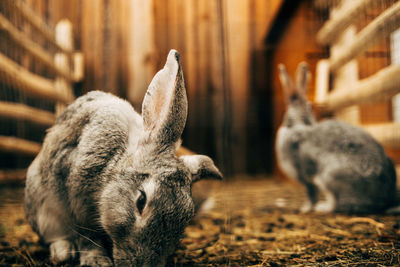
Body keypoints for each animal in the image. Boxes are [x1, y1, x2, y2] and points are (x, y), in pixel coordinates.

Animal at [24, 49, 222, 266]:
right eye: (141, 201)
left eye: (187, 217)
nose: (145, 264)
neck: (113, 165)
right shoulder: (76, 204)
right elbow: (87, 237)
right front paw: (96, 261)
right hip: (42, 209)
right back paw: (62, 253)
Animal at [276, 61, 396, 215]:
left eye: (287, 117)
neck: (299, 124)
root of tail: (386, 199)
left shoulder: (305, 176)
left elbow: (311, 193)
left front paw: (306, 209)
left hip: (328, 177)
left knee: (337, 205)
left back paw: (322, 207)